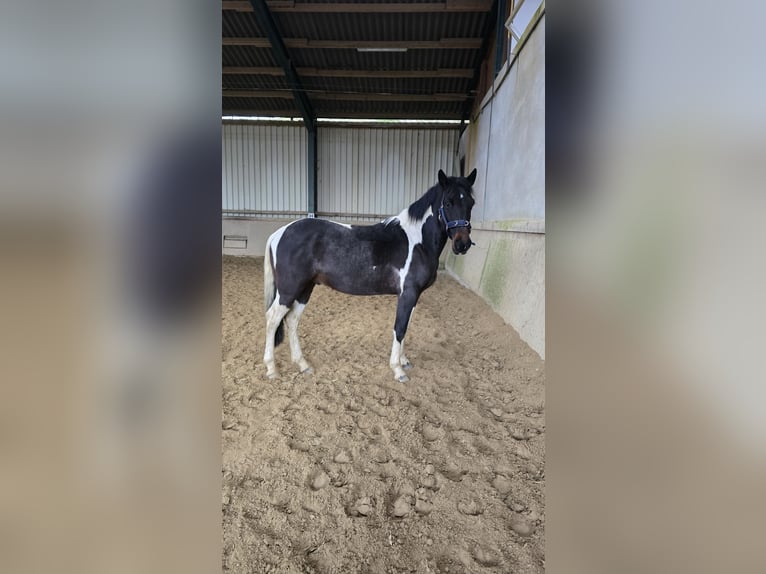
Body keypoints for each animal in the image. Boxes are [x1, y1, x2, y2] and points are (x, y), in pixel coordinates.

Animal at [266, 170, 480, 382]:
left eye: (471, 203)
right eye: (448, 202)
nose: (462, 244)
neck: (417, 241)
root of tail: (279, 233)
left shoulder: (414, 296)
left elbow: (406, 326)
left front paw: (404, 361)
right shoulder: (408, 293)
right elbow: (399, 328)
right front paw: (398, 370)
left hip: (305, 288)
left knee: (292, 320)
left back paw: (303, 365)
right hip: (289, 290)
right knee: (272, 319)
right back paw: (272, 370)